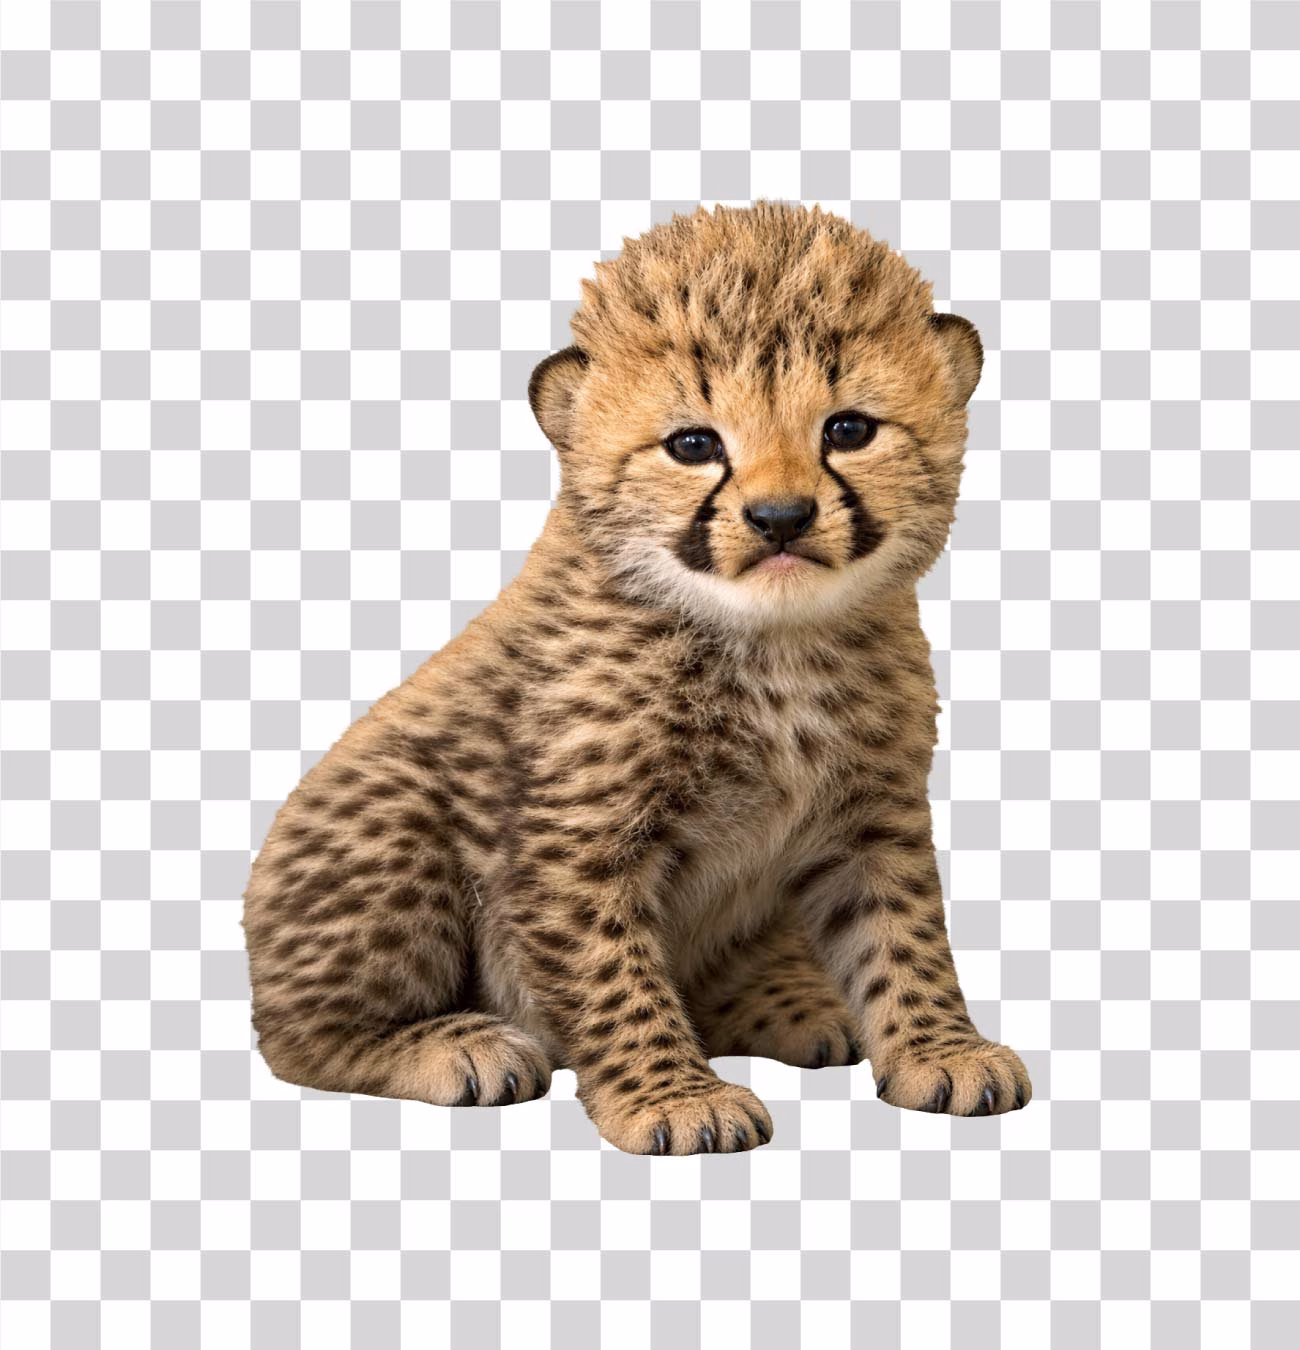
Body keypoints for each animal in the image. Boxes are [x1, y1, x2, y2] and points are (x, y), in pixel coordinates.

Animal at [242, 200, 1032, 1155]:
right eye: (694, 444)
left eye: (848, 430)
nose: (779, 517)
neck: (774, 641)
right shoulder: (575, 847)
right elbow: (615, 976)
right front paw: (673, 1096)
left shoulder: (872, 819)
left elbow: (904, 940)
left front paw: (942, 1048)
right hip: (389, 821)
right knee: (296, 1039)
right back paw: (456, 1046)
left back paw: (798, 1003)